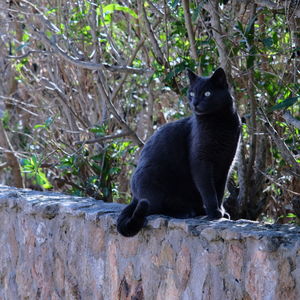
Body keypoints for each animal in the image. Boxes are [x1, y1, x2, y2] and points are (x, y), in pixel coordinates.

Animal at [116, 67, 240, 237]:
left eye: (207, 93)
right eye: (192, 93)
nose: (195, 103)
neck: (219, 122)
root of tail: (135, 197)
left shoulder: (225, 163)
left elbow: (220, 191)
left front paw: (221, 212)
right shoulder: (201, 162)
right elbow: (208, 190)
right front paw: (215, 213)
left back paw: (198, 210)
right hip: (152, 178)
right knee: (154, 208)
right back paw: (186, 212)